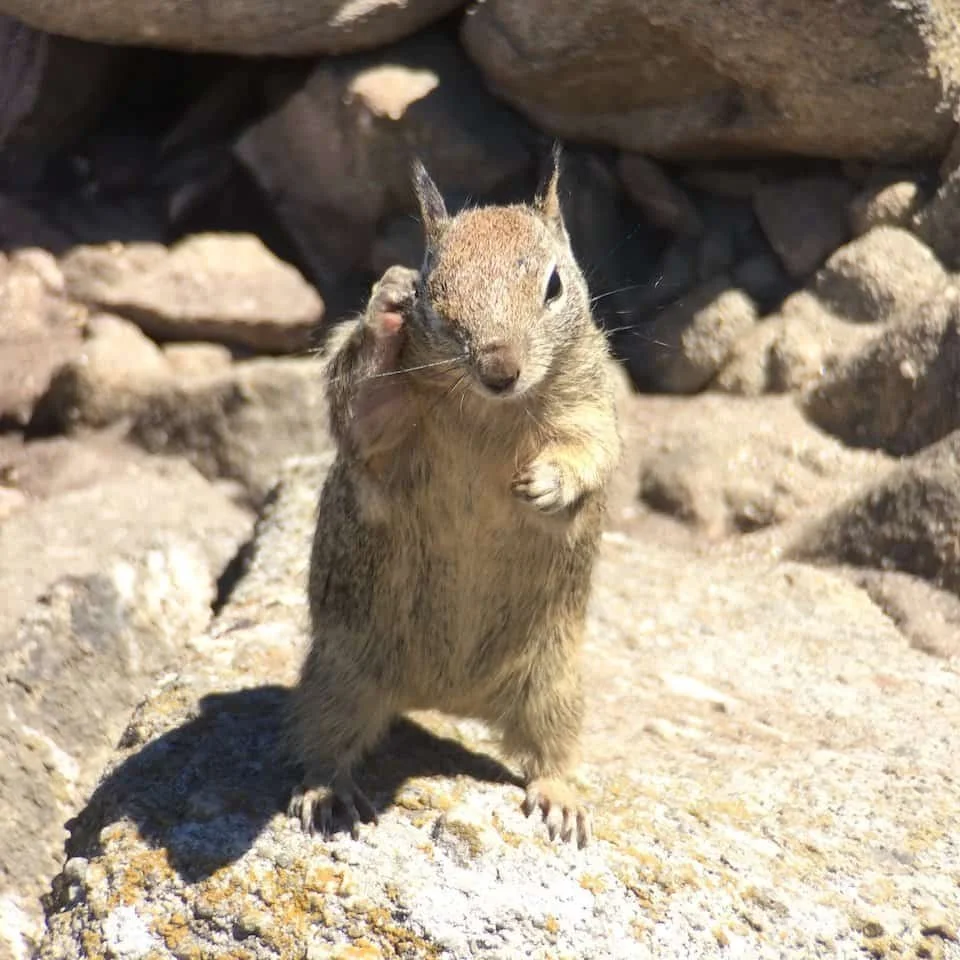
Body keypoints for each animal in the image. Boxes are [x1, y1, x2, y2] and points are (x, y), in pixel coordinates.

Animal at [288, 148, 621, 848]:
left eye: (553, 285)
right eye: (430, 291)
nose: (500, 368)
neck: (489, 409)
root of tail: (448, 700)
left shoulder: (591, 397)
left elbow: (592, 448)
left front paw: (546, 485)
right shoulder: (382, 428)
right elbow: (361, 412)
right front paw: (384, 308)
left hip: (555, 683)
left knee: (551, 751)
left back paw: (561, 799)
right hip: (340, 674)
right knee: (325, 739)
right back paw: (328, 793)